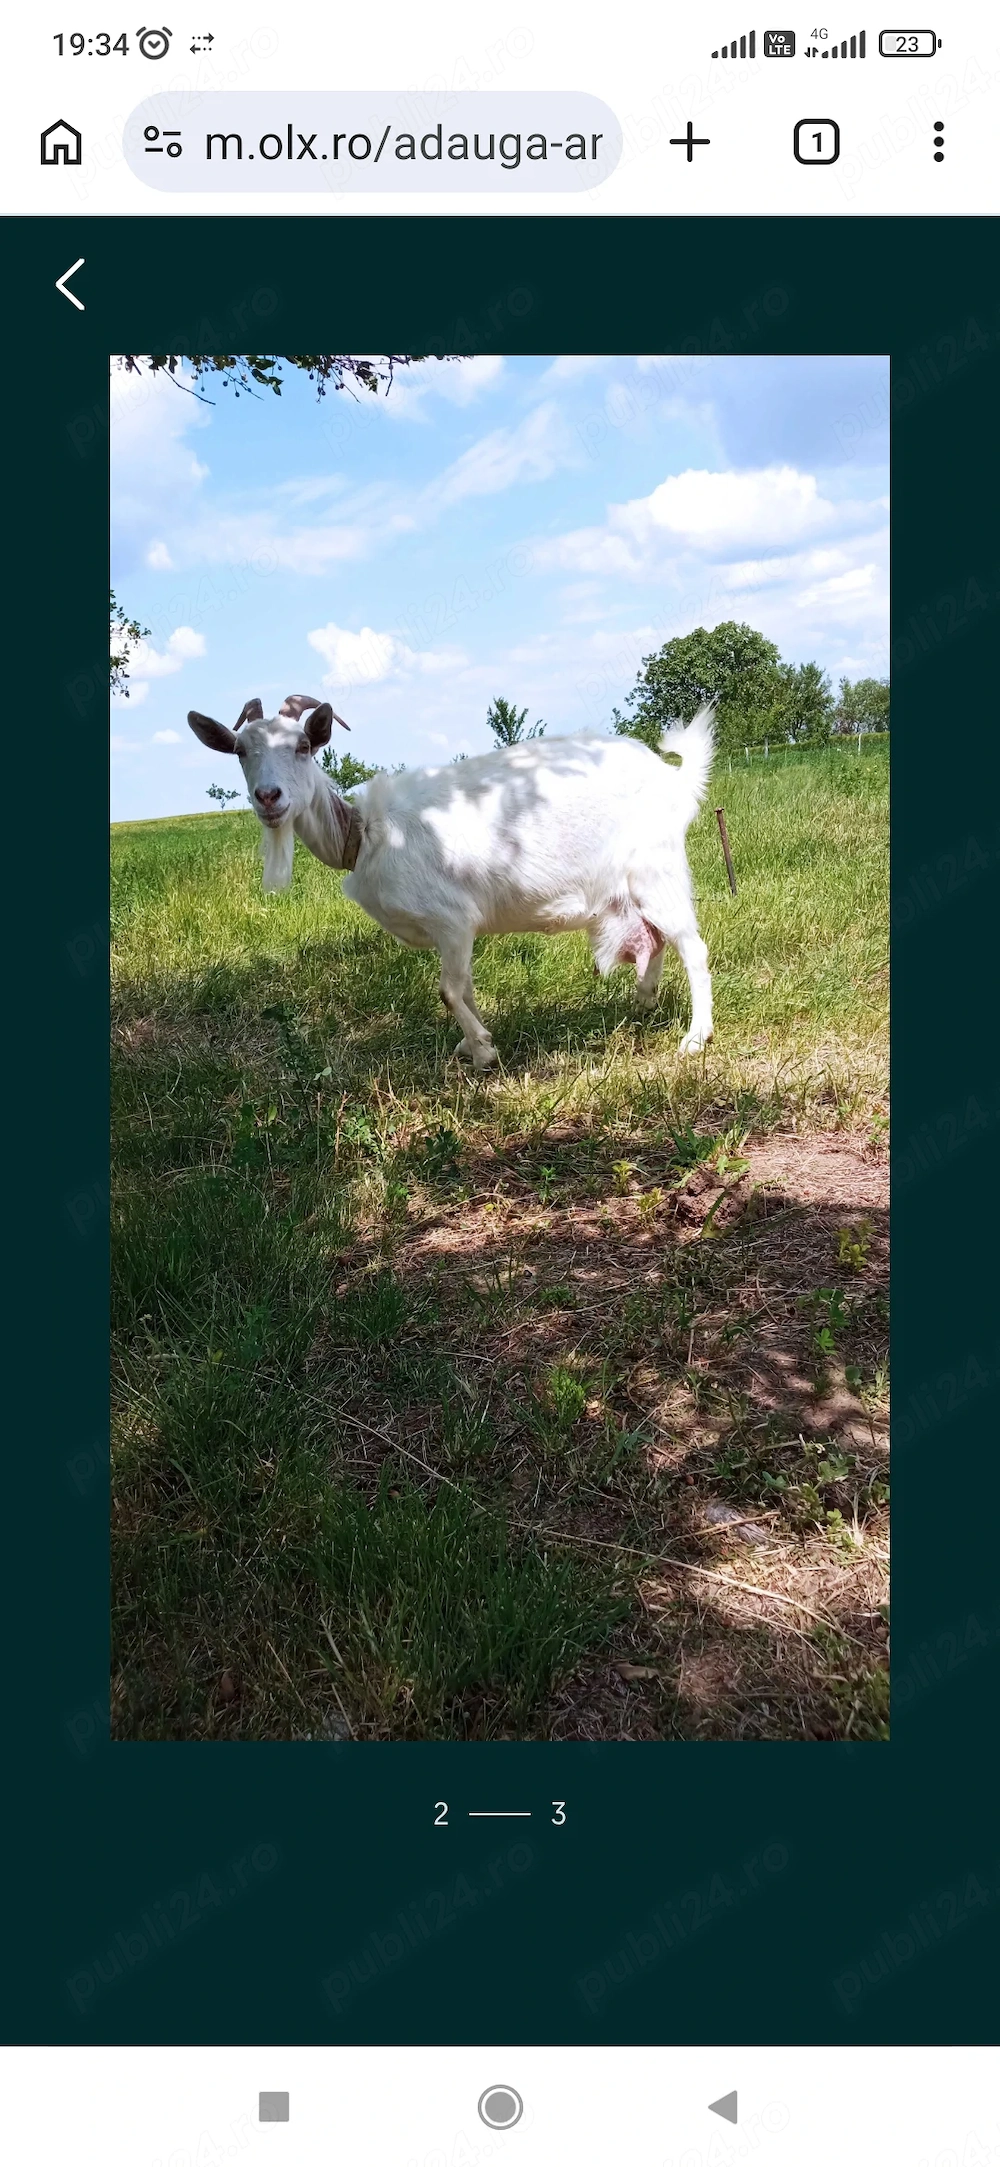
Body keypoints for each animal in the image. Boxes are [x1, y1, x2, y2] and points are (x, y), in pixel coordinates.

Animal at [188, 693, 715, 1068]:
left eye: (302, 747)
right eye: (240, 751)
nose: (268, 797)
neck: (365, 835)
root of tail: (672, 777)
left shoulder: (453, 919)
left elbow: (449, 989)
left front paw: (482, 1050)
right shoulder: (456, 933)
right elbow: (467, 987)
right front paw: (473, 1042)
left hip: (657, 866)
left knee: (692, 945)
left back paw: (695, 1037)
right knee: (657, 938)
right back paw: (644, 1001)